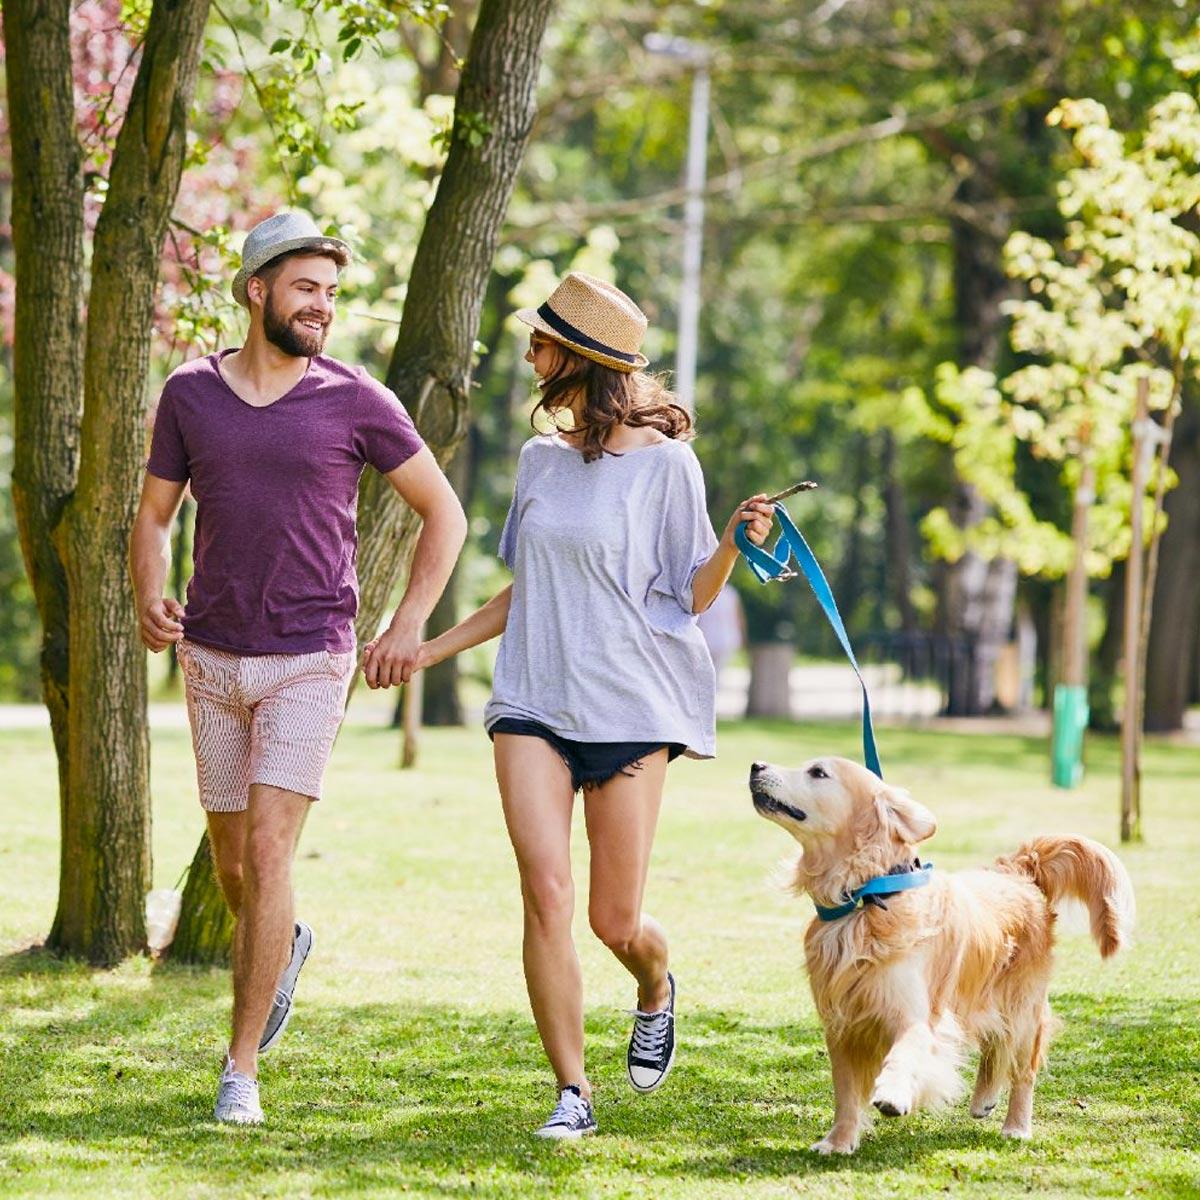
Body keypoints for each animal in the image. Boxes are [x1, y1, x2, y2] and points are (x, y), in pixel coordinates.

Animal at [748, 753, 1132, 1156]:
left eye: (818, 772)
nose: (756, 765)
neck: (866, 898)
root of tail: (1018, 871)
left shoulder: (917, 1013)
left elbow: (905, 1051)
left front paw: (893, 1093)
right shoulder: (841, 1026)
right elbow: (846, 1092)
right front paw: (838, 1141)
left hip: (1022, 1007)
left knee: (1022, 1068)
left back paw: (1016, 1125)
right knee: (994, 1044)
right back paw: (983, 1100)